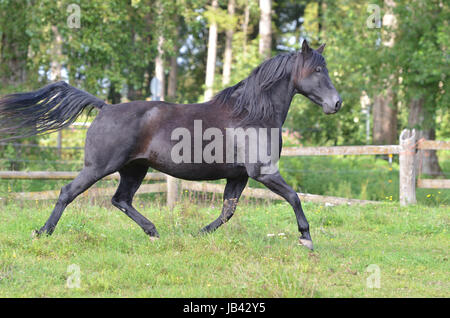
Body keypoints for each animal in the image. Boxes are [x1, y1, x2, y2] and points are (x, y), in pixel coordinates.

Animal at [0, 39, 340, 250]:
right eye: (317, 70)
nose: (337, 103)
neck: (251, 114)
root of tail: (105, 107)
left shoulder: (239, 176)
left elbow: (228, 210)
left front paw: (199, 233)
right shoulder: (264, 172)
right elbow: (294, 197)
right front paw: (306, 239)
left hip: (134, 169)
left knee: (120, 199)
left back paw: (153, 232)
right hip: (99, 167)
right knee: (67, 192)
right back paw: (43, 232)